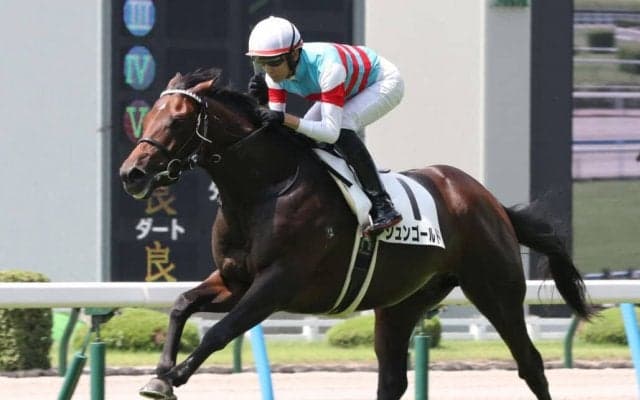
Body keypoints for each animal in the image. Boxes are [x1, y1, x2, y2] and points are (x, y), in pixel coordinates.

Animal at [119, 68, 593, 400]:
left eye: (177, 121)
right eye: (149, 116)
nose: (132, 173)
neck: (265, 188)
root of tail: (490, 202)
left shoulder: (278, 284)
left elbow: (219, 332)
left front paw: (174, 375)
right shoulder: (236, 280)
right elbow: (181, 305)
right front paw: (160, 374)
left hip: (496, 289)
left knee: (530, 363)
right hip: (402, 302)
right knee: (392, 380)